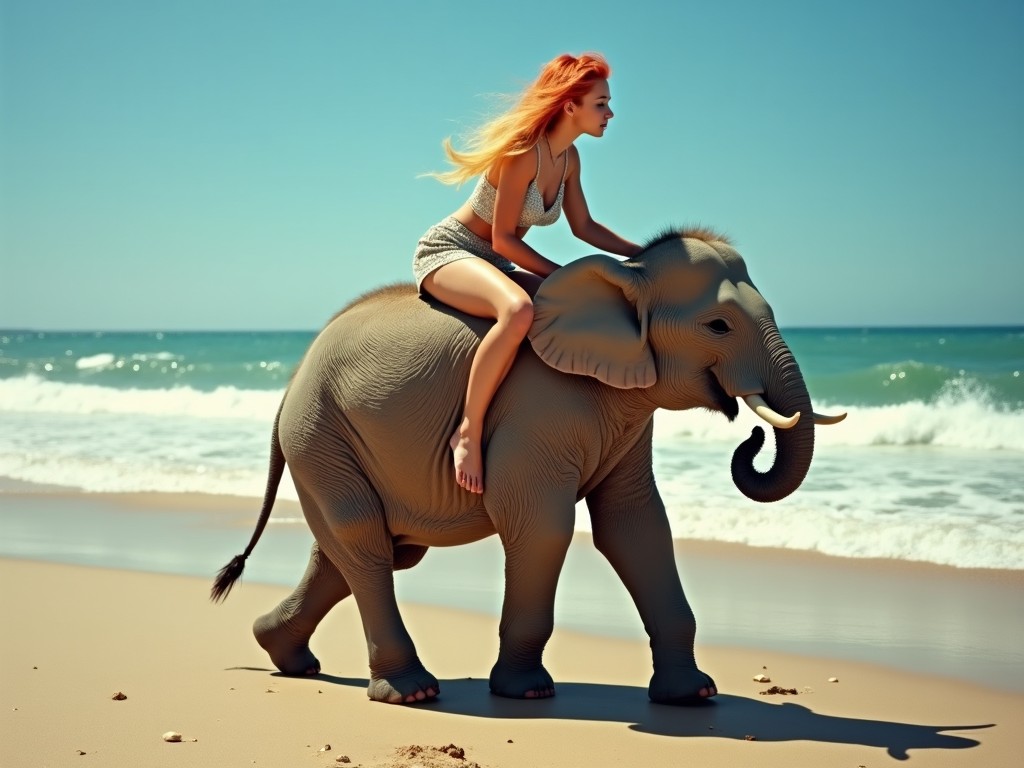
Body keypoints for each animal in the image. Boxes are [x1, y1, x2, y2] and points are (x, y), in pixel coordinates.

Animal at [207, 225, 839, 708]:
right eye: (718, 326)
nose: (751, 435)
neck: (625, 276)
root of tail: (292, 379)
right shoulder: (538, 409)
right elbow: (542, 526)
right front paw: (527, 692)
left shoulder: (629, 412)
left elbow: (636, 526)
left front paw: (693, 696)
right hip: (321, 430)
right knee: (363, 540)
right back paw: (411, 692)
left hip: (331, 440)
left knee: (366, 550)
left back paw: (282, 653)